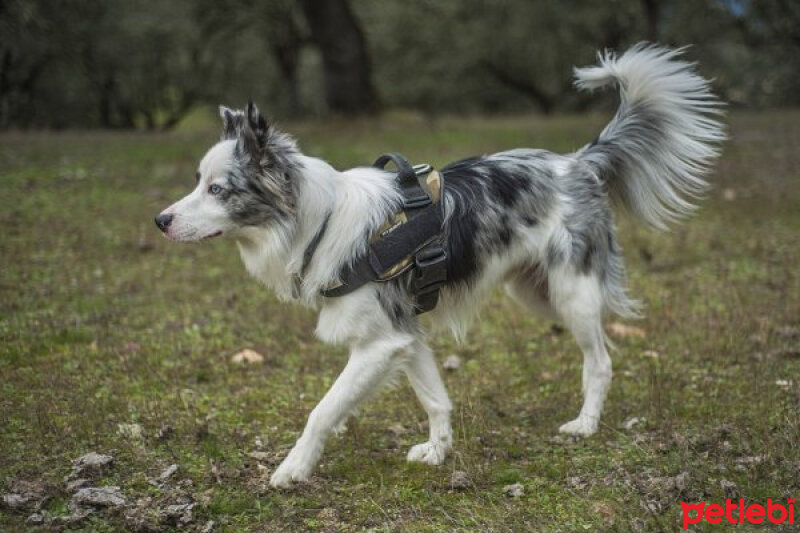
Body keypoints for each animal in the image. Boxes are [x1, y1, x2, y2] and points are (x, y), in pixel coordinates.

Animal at [155, 45, 724, 486]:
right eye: (198, 182)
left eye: (217, 189)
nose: (160, 221)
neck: (316, 221)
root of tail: (578, 160)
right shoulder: (405, 333)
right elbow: (435, 398)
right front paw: (439, 450)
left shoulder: (377, 342)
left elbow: (322, 410)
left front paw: (293, 470)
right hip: (534, 293)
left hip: (571, 292)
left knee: (600, 359)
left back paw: (585, 425)